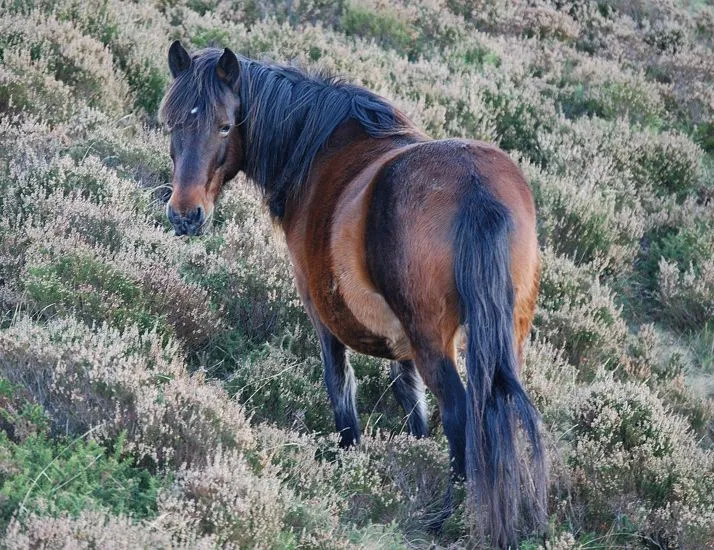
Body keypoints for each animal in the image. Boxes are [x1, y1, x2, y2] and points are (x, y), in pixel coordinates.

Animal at [160, 42, 544, 548]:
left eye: (225, 125)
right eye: (171, 122)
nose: (185, 215)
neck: (320, 146)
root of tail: (477, 189)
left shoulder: (325, 315)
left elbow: (341, 388)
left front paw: (350, 463)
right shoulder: (402, 340)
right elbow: (411, 400)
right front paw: (411, 458)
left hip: (433, 339)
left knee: (461, 412)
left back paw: (448, 517)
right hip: (504, 336)